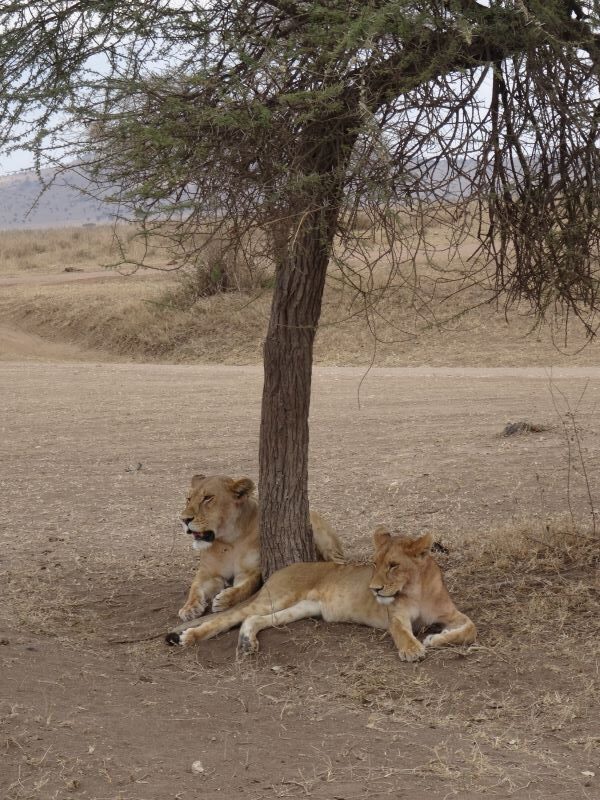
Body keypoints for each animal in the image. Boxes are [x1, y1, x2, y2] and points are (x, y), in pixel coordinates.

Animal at [166, 526, 476, 661]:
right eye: (375, 564)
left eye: (393, 565)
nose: (373, 588)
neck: (418, 588)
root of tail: (281, 570)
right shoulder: (395, 616)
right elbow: (401, 631)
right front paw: (412, 649)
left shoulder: (452, 613)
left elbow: (471, 629)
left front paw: (436, 638)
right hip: (275, 598)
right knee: (228, 618)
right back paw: (191, 636)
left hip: (300, 608)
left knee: (251, 620)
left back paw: (247, 643)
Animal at [177, 474, 345, 622]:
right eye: (188, 499)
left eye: (208, 498)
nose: (184, 519)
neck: (229, 540)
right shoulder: (208, 573)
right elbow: (195, 587)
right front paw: (189, 608)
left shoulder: (250, 571)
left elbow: (245, 588)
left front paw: (224, 599)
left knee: (338, 561)